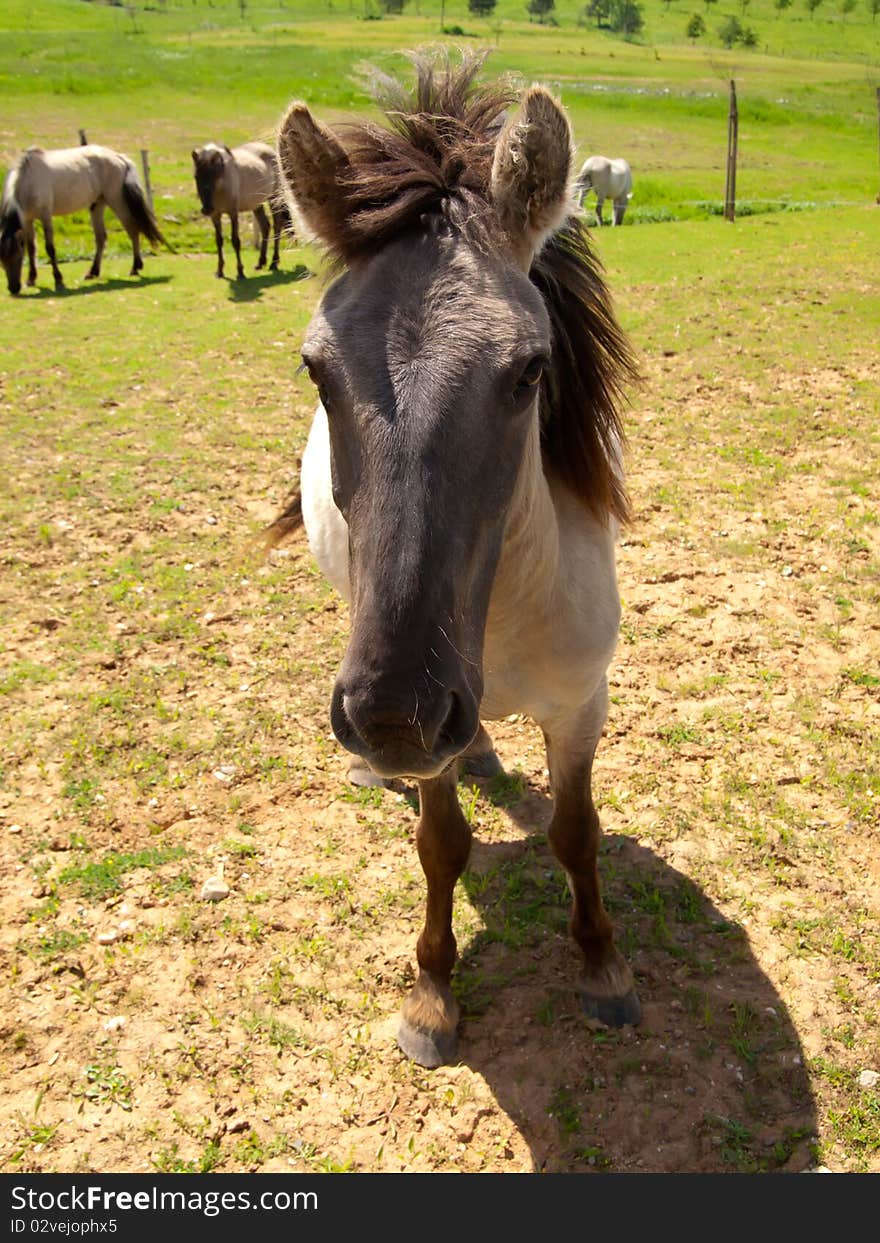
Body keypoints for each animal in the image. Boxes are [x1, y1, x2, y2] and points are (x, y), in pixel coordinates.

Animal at [0, 144, 166, 294]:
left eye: (18, 258)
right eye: (2, 260)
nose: (13, 288)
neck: (27, 181)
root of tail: (119, 157)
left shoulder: (45, 216)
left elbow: (50, 248)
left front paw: (58, 280)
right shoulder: (27, 220)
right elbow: (31, 248)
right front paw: (31, 279)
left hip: (117, 202)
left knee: (132, 231)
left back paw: (135, 268)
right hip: (97, 205)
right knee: (101, 238)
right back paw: (93, 272)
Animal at [190, 142, 287, 280]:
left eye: (214, 176)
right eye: (196, 176)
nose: (206, 209)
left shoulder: (233, 213)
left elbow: (235, 241)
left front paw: (240, 272)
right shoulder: (215, 216)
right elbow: (219, 241)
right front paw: (220, 271)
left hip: (274, 198)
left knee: (277, 226)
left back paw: (274, 263)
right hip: (256, 204)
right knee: (265, 227)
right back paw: (260, 262)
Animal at [265, 50, 641, 1068]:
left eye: (529, 371)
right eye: (316, 370)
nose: (392, 714)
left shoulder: (581, 704)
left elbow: (575, 830)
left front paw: (602, 965)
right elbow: (441, 847)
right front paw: (433, 993)